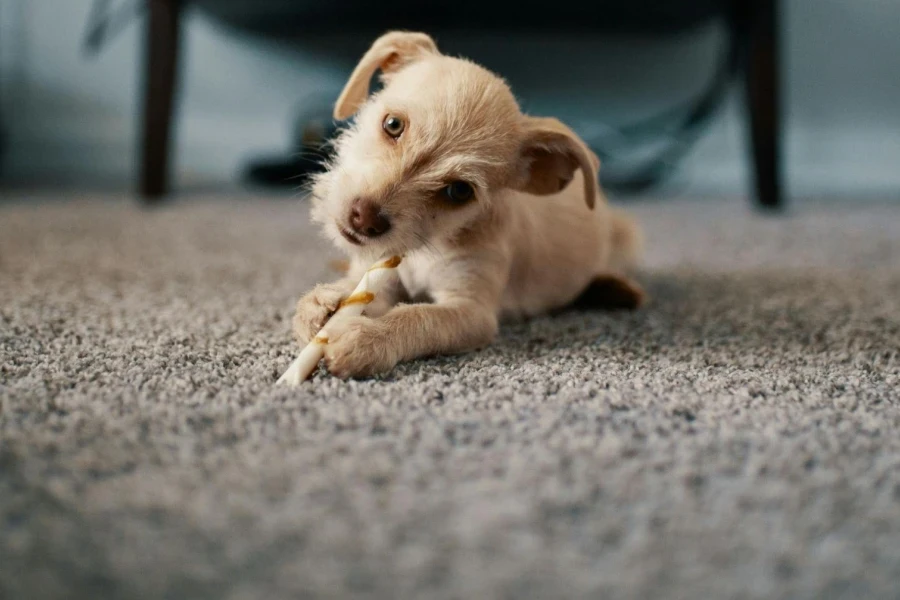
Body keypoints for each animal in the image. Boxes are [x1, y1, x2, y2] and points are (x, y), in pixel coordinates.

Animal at [298, 30, 644, 378]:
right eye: (393, 124)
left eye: (460, 191)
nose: (364, 219)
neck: (425, 248)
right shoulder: (380, 273)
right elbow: (362, 292)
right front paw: (324, 303)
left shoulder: (472, 311)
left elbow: (418, 318)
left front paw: (368, 337)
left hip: (624, 235)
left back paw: (615, 288)